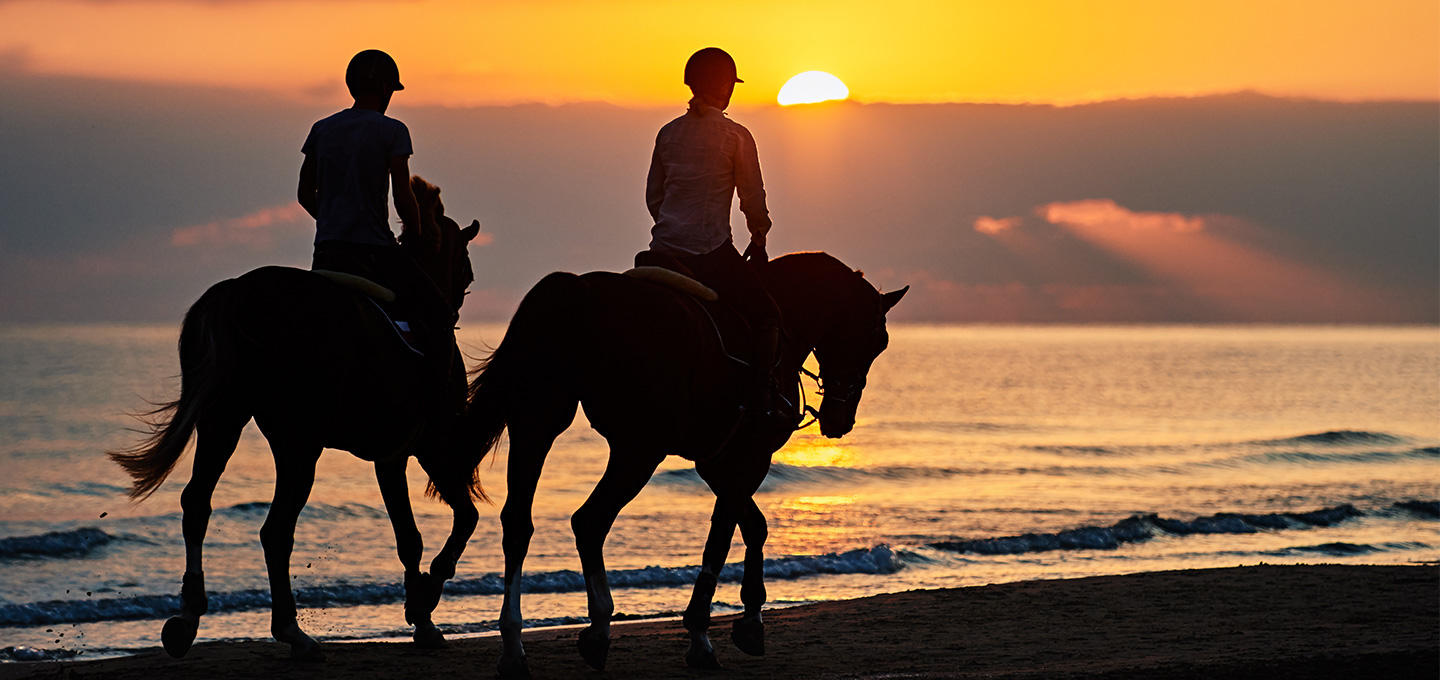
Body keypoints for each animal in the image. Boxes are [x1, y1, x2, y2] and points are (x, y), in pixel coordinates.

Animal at [108, 177, 489, 662]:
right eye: (466, 271)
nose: (455, 307)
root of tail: (239, 291)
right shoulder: (429, 447)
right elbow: (463, 519)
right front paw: (425, 602)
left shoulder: (390, 457)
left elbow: (409, 536)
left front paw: (421, 617)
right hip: (299, 443)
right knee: (275, 531)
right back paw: (292, 631)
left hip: (223, 423)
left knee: (197, 505)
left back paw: (187, 619)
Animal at [466, 252, 904, 677]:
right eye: (878, 341)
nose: (840, 420)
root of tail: (578, 291)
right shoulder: (749, 458)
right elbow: (722, 538)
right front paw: (702, 635)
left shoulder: (714, 462)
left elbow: (755, 527)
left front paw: (751, 621)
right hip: (638, 448)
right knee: (589, 521)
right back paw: (599, 628)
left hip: (537, 422)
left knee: (518, 524)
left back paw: (513, 644)